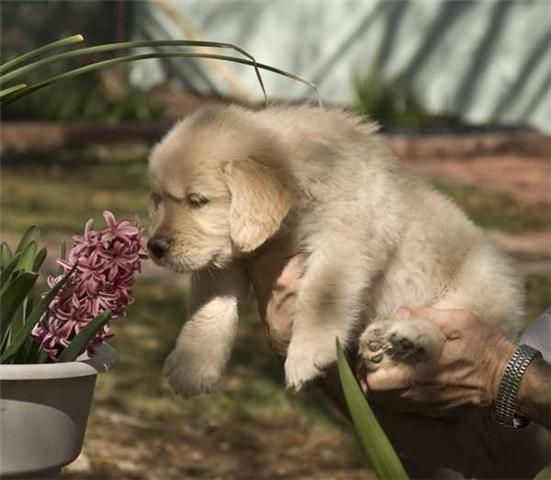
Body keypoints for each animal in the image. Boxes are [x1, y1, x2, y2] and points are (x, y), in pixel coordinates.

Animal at [148, 106, 528, 398]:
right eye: (156, 200)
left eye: (197, 201)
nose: (154, 248)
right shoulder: (227, 254)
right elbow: (210, 306)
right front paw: (191, 365)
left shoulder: (345, 239)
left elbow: (319, 294)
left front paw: (307, 352)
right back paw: (382, 339)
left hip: (483, 279)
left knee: (448, 325)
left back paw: (410, 337)